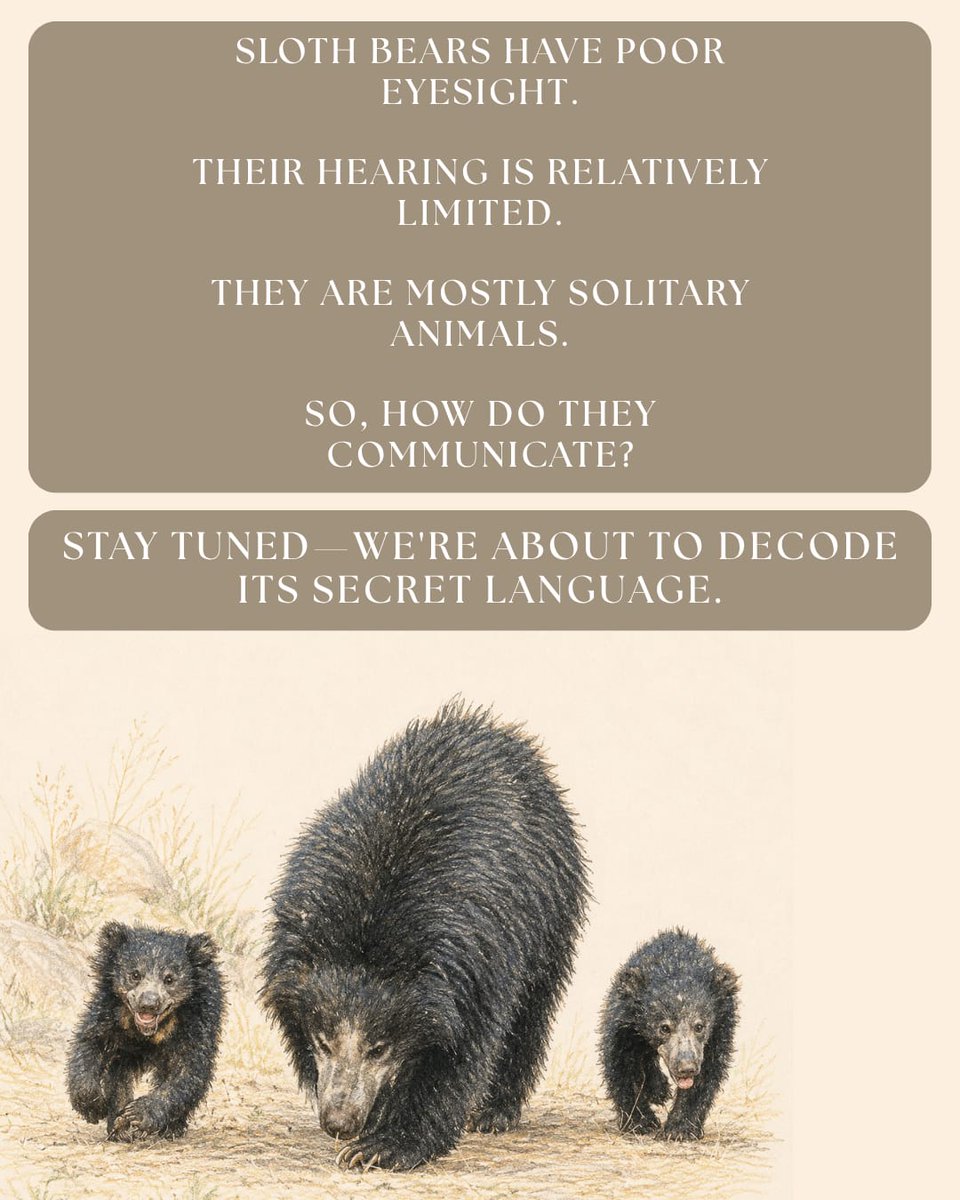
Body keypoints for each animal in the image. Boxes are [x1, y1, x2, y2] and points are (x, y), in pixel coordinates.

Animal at [67, 922, 225, 1141]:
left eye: (169, 979)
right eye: (135, 975)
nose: (148, 1003)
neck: (146, 1032)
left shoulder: (196, 1024)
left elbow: (188, 1072)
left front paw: (138, 1114)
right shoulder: (108, 1014)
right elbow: (89, 1045)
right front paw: (93, 1106)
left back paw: (167, 1128)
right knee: (119, 1076)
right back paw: (119, 1126)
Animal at [261, 701, 589, 1171]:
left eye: (379, 1048)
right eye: (323, 1041)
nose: (340, 1121)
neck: (369, 924)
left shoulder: (476, 956)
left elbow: (459, 1052)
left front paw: (383, 1145)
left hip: (551, 906)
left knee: (531, 1008)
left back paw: (496, 1111)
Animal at [599, 928, 738, 1142]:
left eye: (700, 1026)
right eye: (664, 1028)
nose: (686, 1068)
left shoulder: (720, 1028)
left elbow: (708, 1072)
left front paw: (680, 1129)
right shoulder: (624, 1022)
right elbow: (622, 1064)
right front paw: (641, 1122)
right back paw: (658, 1090)